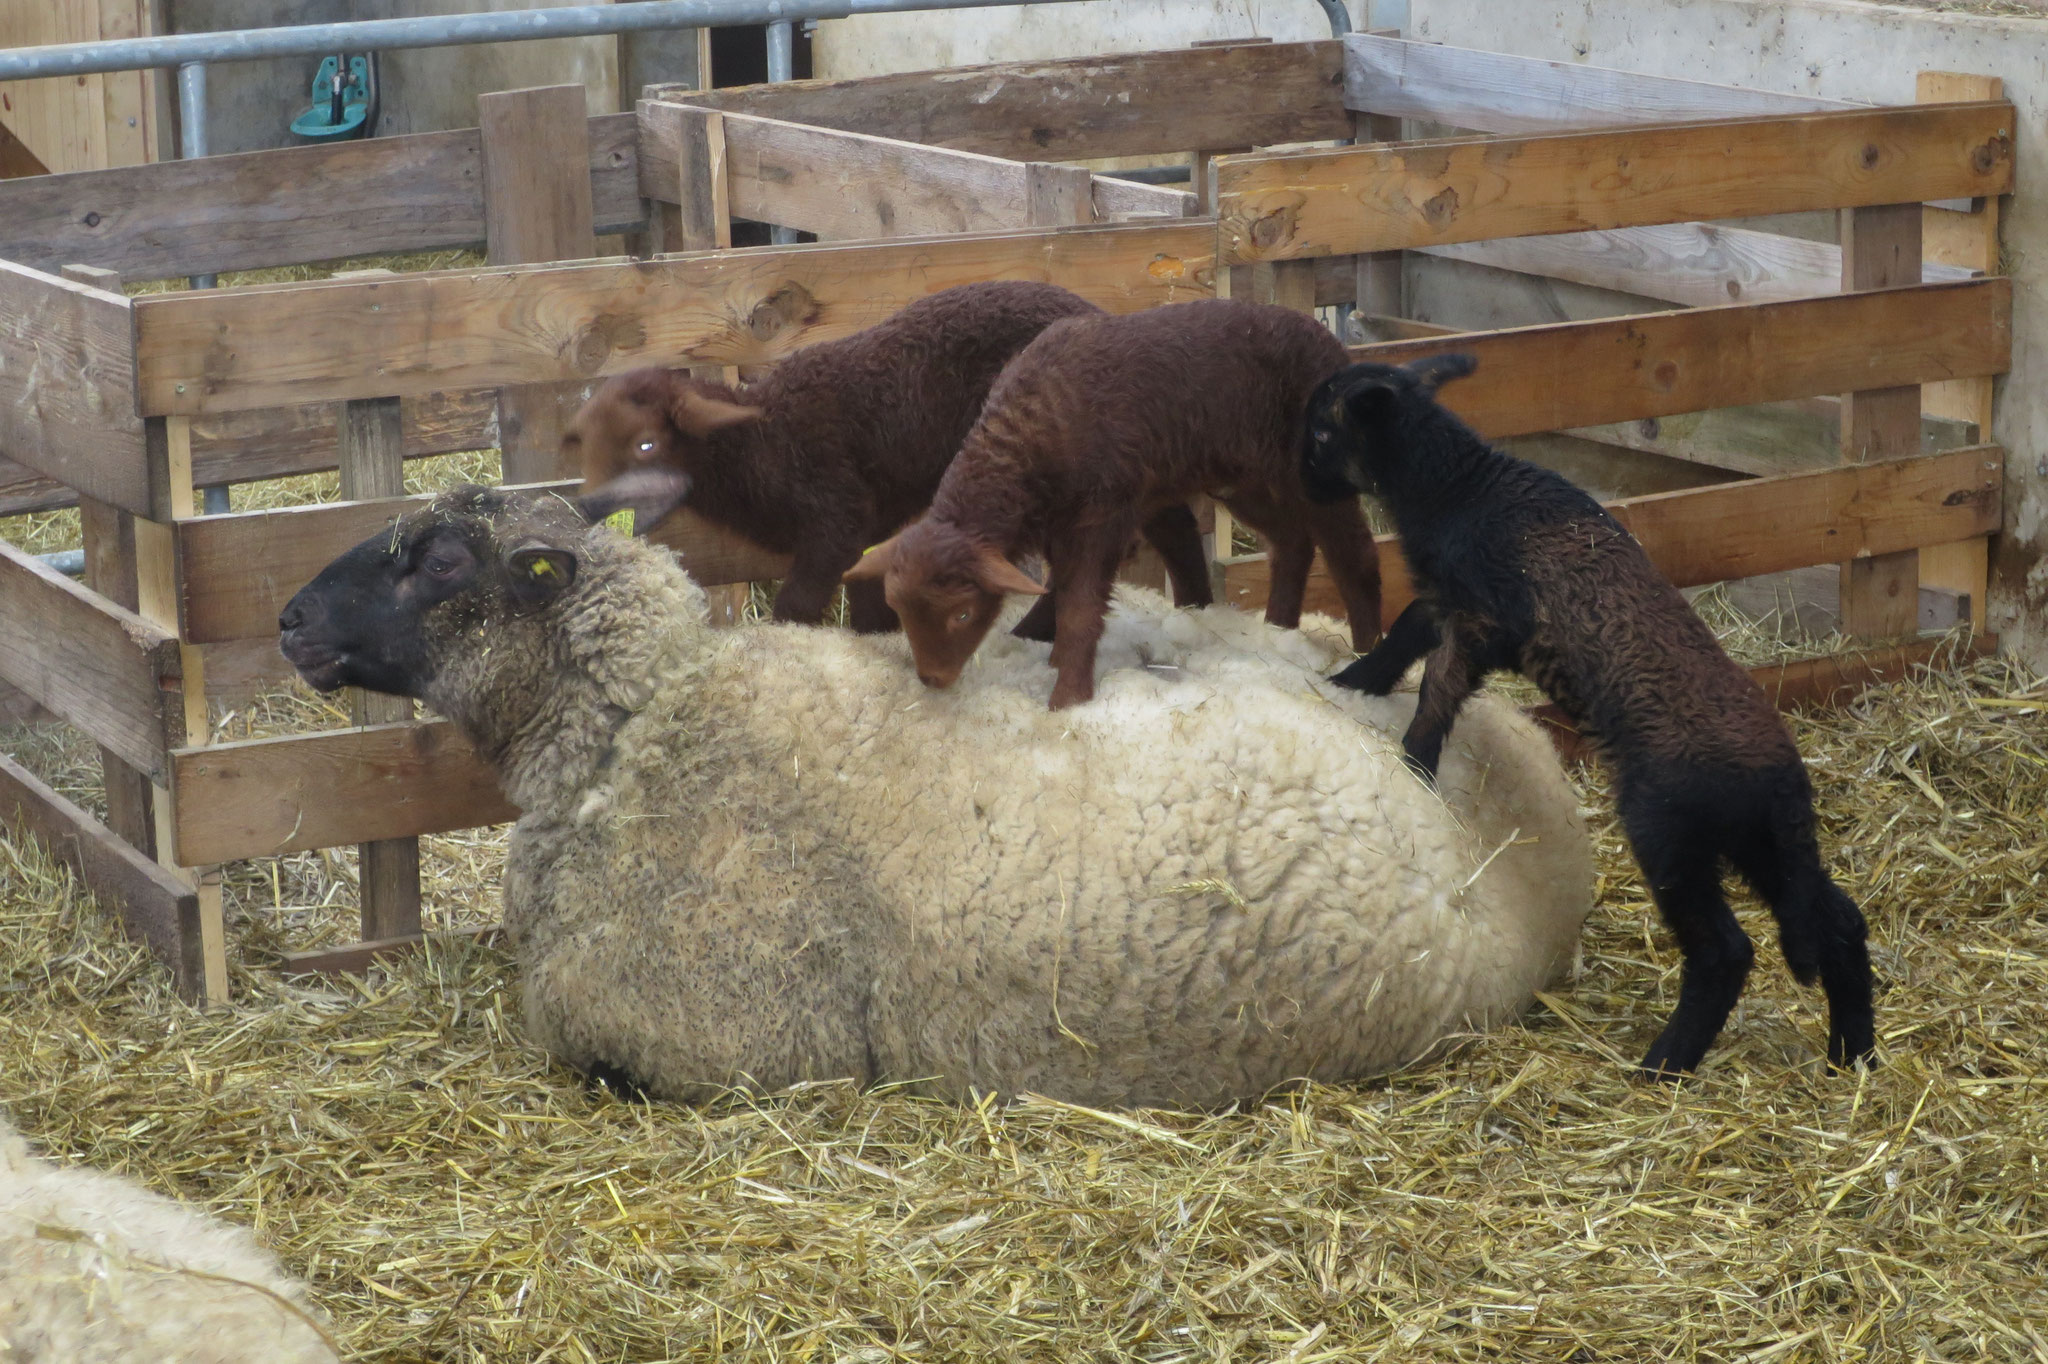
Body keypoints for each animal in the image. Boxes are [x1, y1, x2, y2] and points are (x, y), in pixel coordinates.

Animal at [565, 280, 1212, 638]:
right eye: (588, 444)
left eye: (646, 444)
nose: (588, 506)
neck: (761, 440)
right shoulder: (865, 531)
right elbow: (867, 601)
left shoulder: (835, 513)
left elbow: (797, 605)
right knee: (1170, 521)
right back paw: (1198, 606)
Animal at [839, 292, 1384, 704]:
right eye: (897, 609)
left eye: (963, 615)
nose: (932, 680)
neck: (1027, 436)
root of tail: (1335, 346)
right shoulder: (1060, 523)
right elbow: (1060, 590)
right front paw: (1056, 660)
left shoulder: (1101, 517)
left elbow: (1080, 605)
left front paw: (1068, 696)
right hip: (1243, 478)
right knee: (1292, 542)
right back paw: (1279, 628)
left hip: (1313, 474)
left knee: (1353, 552)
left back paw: (1364, 658)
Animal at [1302, 356, 1875, 1081]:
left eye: (1321, 432)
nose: (1300, 475)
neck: (1457, 487)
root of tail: (1780, 780)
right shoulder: (1452, 598)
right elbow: (1406, 632)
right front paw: (1354, 680)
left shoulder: (1487, 617)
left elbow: (1437, 685)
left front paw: (1416, 759)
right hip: (1764, 844)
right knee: (1839, 920)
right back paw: (1854, 1055)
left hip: (1669, 830)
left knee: (1725, 951)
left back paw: (1665, 1064)